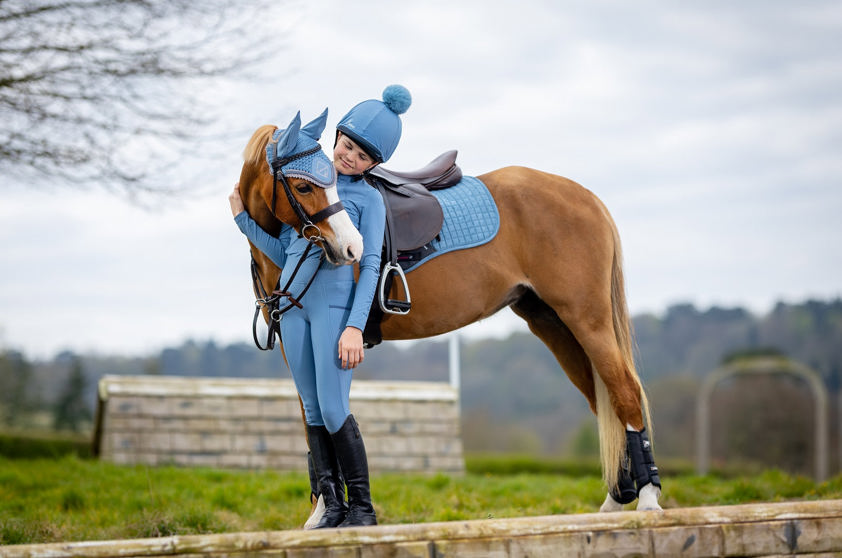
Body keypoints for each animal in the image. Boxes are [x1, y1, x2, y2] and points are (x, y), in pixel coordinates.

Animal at [235, 124, 656, 516]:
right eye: (304, 186)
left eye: (324, 184)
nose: (350, 248)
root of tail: (586, 197)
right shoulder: (295, 347)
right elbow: (312, 423)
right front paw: (323, 514)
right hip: (554, 326)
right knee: (603, 401)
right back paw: (617, 500)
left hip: (588, 321)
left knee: (625, 392)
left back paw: (649, 500)